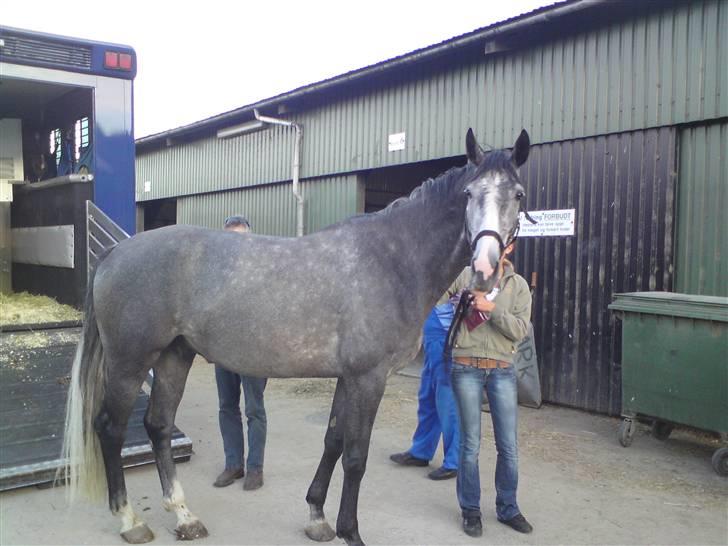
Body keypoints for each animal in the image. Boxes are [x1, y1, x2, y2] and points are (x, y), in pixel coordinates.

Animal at [61, 126, 528, 540]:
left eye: (518, 195)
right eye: (468, 194)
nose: (485, 269)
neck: (390, 260)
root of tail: (115, 252)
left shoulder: (348, 378)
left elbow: (333, 441)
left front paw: (317, 517)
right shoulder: (368, 378)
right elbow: (356, 457)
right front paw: (350, 531)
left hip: (175, 356)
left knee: (158, 425)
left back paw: (184, 517)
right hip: (130, 361)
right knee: (110, 428)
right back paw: (130, 522)